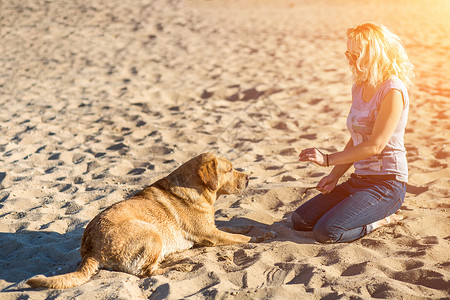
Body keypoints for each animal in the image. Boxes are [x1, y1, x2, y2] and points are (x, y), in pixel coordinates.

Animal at [27, 152, 270, 288]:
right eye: (229, 170)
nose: (249, 178)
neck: (197, 188)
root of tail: (90, 251)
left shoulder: (214, 229)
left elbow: (239, 228)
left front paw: (259, 231)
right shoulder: (210, 234)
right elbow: (240, 238)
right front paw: (260, 238)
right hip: (152, 232)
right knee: (146, 272)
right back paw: (179, 266)